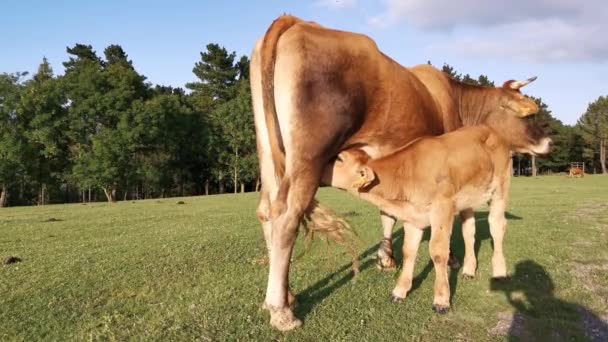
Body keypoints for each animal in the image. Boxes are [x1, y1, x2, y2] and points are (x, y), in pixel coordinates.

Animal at [249, 14, 548, 330]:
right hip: (308, 156)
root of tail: (295, 21)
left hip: (268, 151)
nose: (548, 141)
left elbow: (388, 214)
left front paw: (386, 259)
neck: (456, 101)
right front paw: (453, 260)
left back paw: (288, 295)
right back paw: (281, 309)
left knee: (267, 211)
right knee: (287, 215)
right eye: (527, 115)